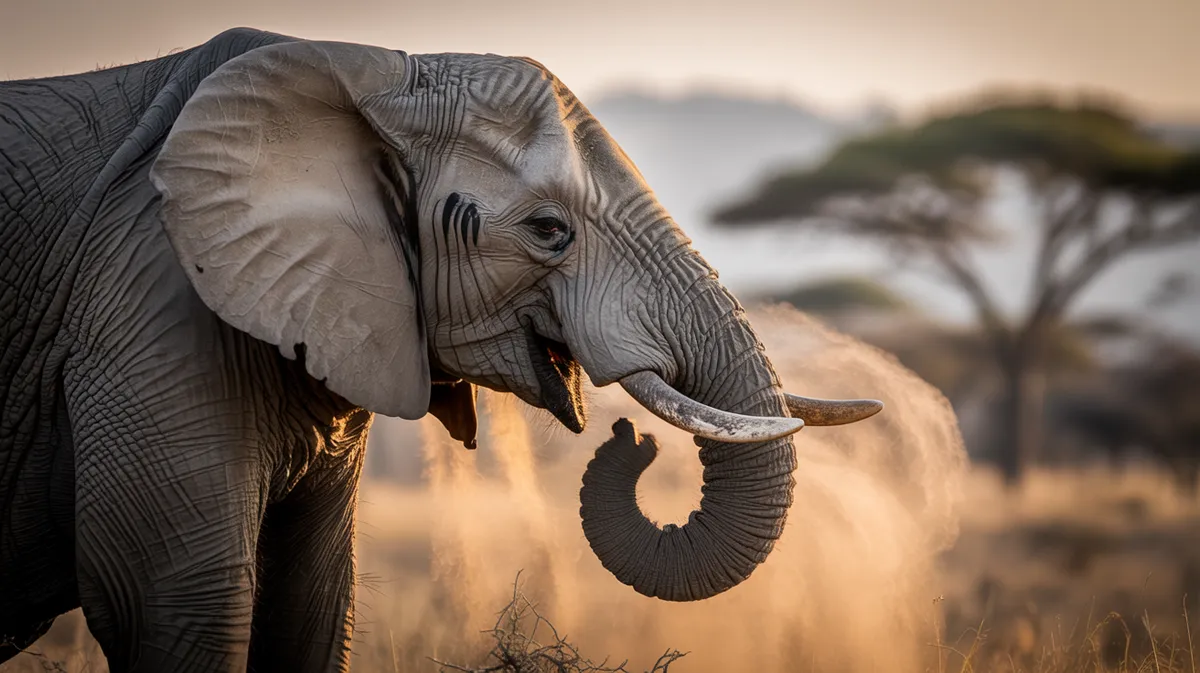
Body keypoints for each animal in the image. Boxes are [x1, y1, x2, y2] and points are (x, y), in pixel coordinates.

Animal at [0, 27, 882, 672]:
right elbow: (178, 596)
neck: (367, 66)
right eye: (548, 231)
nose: (631, 440)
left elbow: (313, 601)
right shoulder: (146, 301)